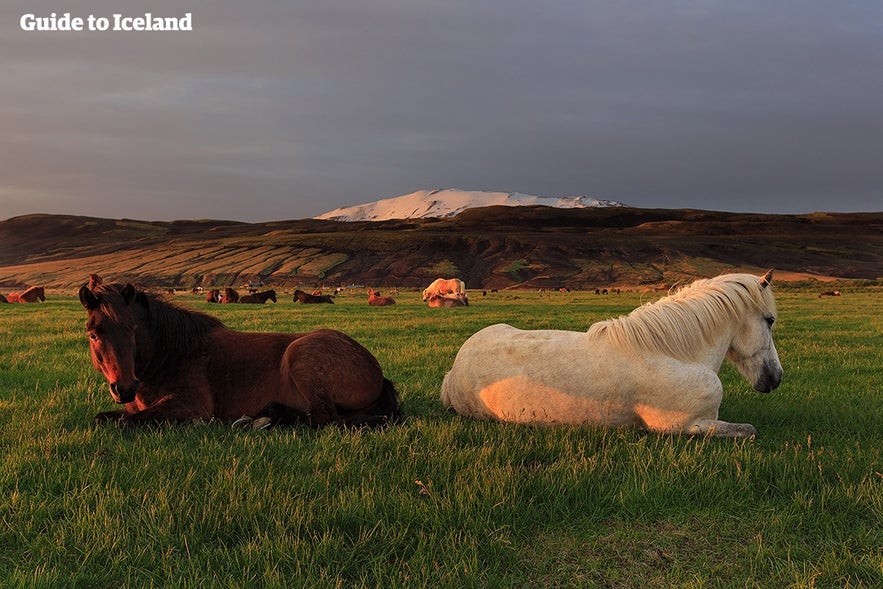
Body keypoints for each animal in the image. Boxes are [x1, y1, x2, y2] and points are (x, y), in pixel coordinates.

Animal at [77, 276, 402, 428]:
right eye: (93, 333)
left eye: (133, 330)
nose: (125, 388)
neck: (171, 355)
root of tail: (375, 369)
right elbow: (106, 417)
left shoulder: (189, 406)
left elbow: (126, 422)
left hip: (300, 355)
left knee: (324, 420)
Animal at [440, 272, 780, 436]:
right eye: (770, 320)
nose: (775, 377)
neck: (674, 353)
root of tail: (454, 368)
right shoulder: (689, 426)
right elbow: (749, 431)